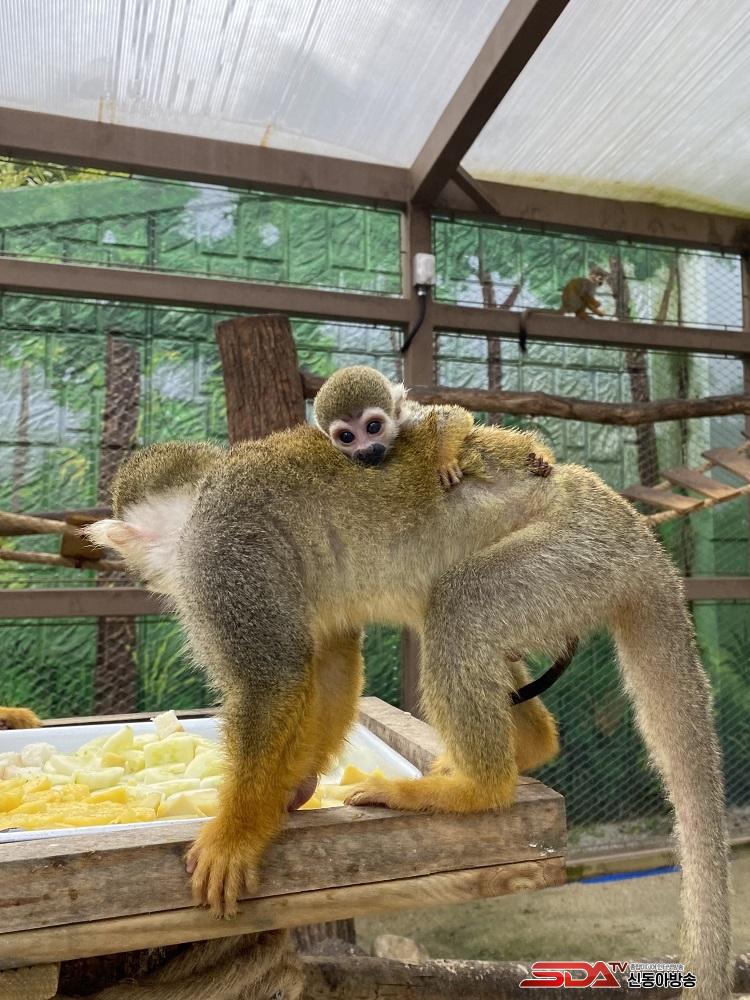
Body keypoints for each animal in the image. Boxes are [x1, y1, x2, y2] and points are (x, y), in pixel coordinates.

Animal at [88, 393, 729, 999]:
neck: (198, 504)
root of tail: (634, 531)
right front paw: (294, 784)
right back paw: (528, 744)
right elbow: (330, 658)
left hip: (574, 553)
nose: (138, 570)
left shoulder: (220, 552)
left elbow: (273, 680)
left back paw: (477, 787)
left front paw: (235, 834)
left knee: (461, 607)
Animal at [313, 364, 552, 488]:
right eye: (346, 437)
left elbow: (454, 416)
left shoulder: (410, 418)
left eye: (373, 427)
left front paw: (443, 460)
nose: (365, 450)